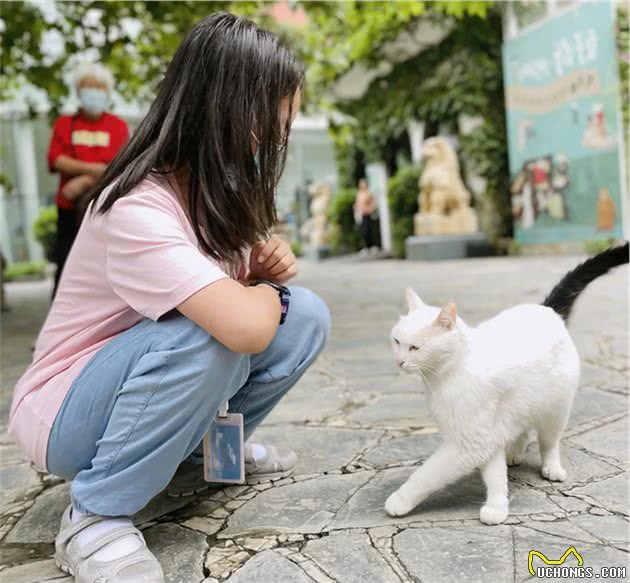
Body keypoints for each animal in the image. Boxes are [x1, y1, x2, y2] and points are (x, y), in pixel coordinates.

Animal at [386, 244, 630, 528]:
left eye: (415, 347)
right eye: (396, 341)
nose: (399, 361)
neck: (448, 374)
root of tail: (547, 310)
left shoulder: (467, 443)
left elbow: (426, 475)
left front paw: (399, 500)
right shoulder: (483, 437)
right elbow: (495, 474)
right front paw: (498, 505)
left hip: (555, 410)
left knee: (549, 442)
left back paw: (551, 467)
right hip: (520, 406)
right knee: (520, 427)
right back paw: (514, 452)